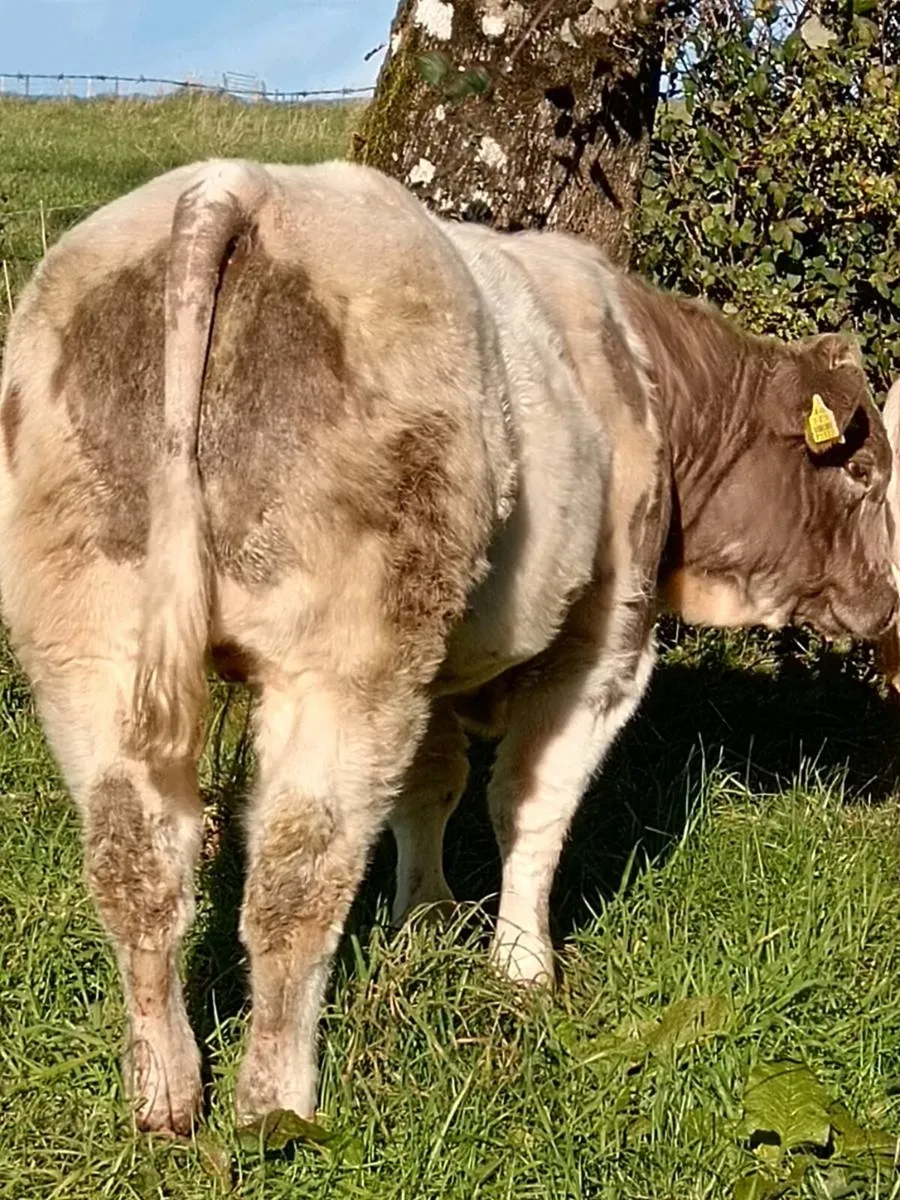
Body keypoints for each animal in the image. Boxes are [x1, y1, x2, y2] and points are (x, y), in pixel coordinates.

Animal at [0, 158, 895, 1136]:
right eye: (863, 472)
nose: (887, 605)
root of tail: (234, 184)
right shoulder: (603, 650)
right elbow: (529, 807)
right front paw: (524, 968)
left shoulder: (434, 667)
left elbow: (427, 792)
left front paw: (422, 921)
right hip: (343, 662)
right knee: (295, 877)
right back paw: (276, 1107)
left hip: (90, 646)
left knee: (136, 864)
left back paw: (164, 1096)